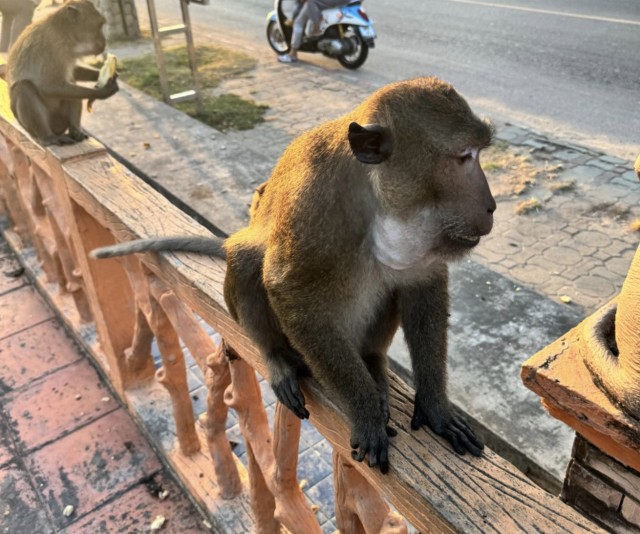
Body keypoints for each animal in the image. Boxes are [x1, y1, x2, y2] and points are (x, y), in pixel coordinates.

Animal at [6, 0, 119, 147]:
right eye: (100, 25)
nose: (105, 41)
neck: (63, 34)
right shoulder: (51, 47)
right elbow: (50, 87)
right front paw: (102, 92)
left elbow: (73, 72)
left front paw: (103, 75)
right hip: (30, 127)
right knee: (23, 87)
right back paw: (48, 137)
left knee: (70, 83)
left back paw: (75, 131)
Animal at [94, 76, 496, 474]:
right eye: (464, 157)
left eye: (478, 152)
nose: (491, 205)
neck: (373, 198)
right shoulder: (315, 203)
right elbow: (288, 290)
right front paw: (365, 411)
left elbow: (422, 285)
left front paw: (435, 408)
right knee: (246, 259)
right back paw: (279, 359)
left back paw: (370, 360)